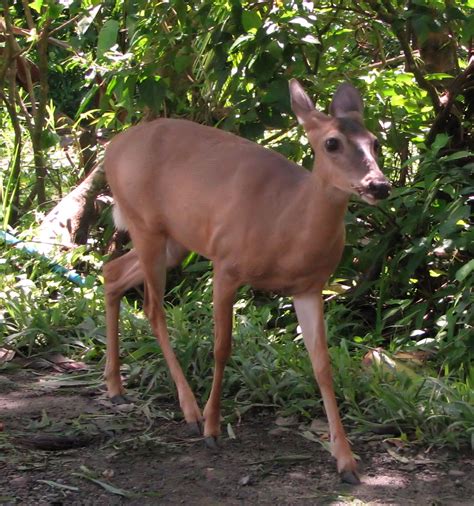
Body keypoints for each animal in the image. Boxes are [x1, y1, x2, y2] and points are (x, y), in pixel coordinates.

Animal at [103, 78, 392, 482]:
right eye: (332, 143)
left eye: (375, 141)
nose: (378, 185)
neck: (285, 224)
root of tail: (111, 148)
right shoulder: (226, 264)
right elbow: (222, 346)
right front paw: (212, 429)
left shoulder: (309, 286)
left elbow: (322, 365)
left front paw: (346, 461)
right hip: (145, 224)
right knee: (152, 307)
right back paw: (190, 410)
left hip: (175, 239)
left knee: (112, 273)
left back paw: (115, 387)